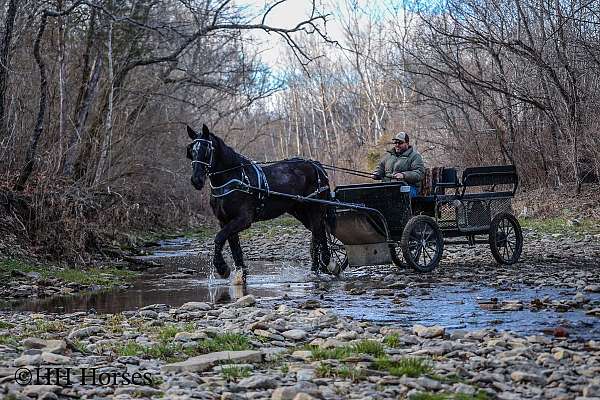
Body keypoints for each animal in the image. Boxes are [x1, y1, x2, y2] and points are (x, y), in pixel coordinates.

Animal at [185, 125, 330, 278]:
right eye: (191, 151)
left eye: (207, 150)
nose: (196, 180)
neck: (234, 180)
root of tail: (316, 166)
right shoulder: (224, 221)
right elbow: (235, 250)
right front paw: (240, 274)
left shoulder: (243, 219)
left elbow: (219, 238)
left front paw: (222, 268)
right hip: (300, 212)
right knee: (319, 233)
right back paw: (322, 266)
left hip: (315, 210)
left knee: (318, 234)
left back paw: (321, 266)